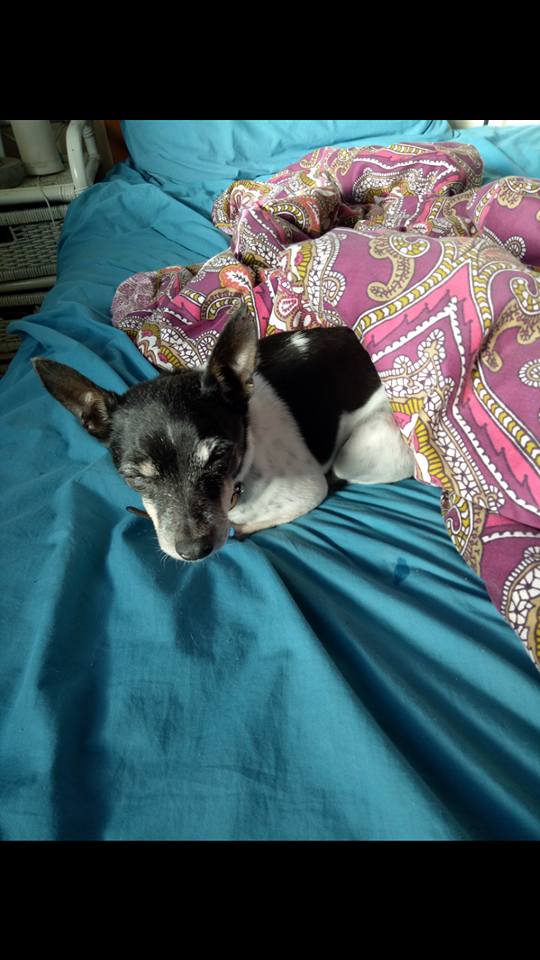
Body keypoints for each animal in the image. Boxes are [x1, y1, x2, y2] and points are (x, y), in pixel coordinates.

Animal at [33, 304, 415, 562]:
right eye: (134, 477)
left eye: (219, 455)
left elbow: (248, 524)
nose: (193, 550)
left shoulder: (307, 493)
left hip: (357, 451)